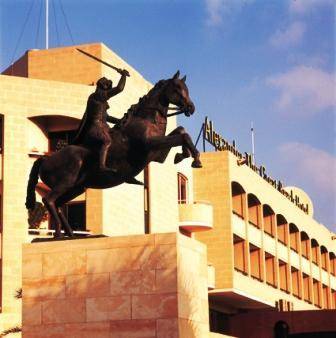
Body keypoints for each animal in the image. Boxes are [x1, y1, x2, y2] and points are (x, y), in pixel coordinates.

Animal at [25, 70, 202, 236]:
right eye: (177, 88)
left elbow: (181, 132)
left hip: (77, 188)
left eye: (186, 88)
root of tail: (45, 159)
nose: (191, 108)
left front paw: (182, 155)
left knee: (59, 203)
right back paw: (59, 234)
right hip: (65, 183)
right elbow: (183, 136)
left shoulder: (159, 155)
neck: (145, 120)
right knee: (49, 200)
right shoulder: (150, 145)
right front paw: (196, 160)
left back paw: (69, 234)